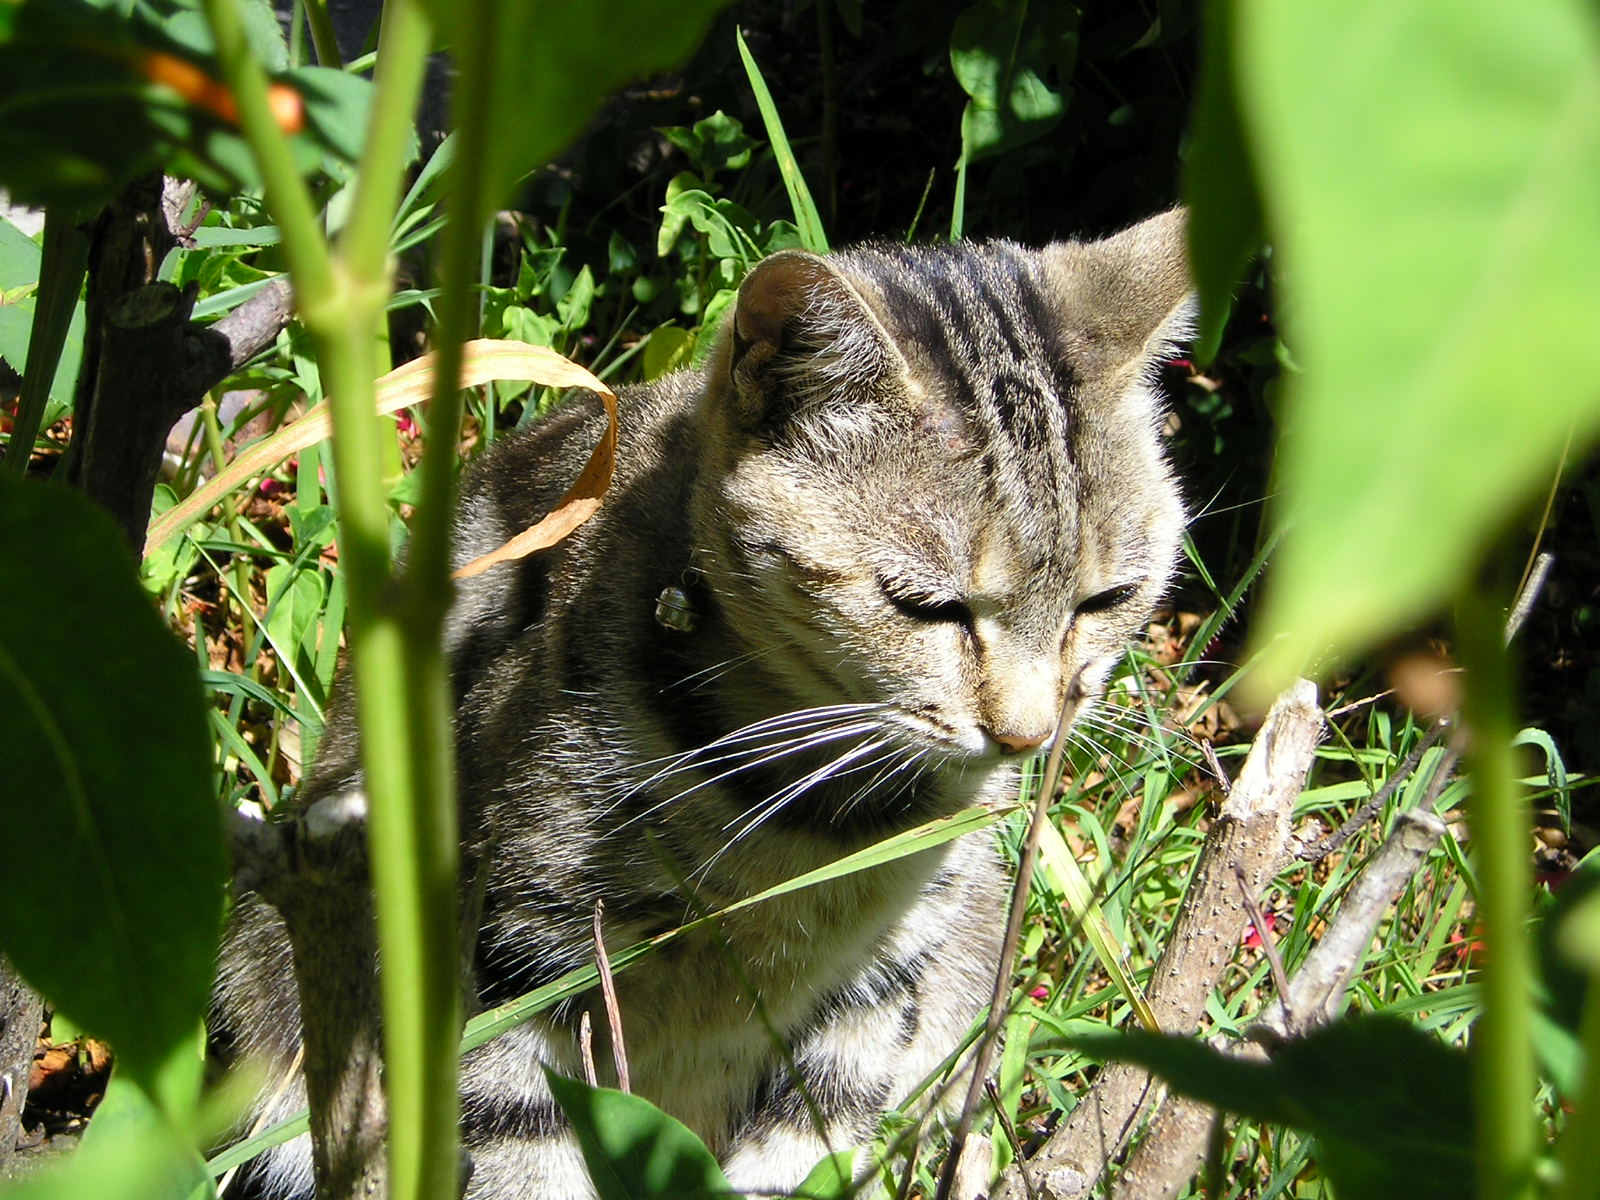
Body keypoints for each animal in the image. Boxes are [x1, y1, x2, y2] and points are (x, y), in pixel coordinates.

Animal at [209, 211, 1190, 1196]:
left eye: (1105, 600)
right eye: (926, 606)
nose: (1027, 735)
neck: (819, 816)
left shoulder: (878, 988)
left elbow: (806, 1151)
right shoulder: (508, 957)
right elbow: (528, 1155)